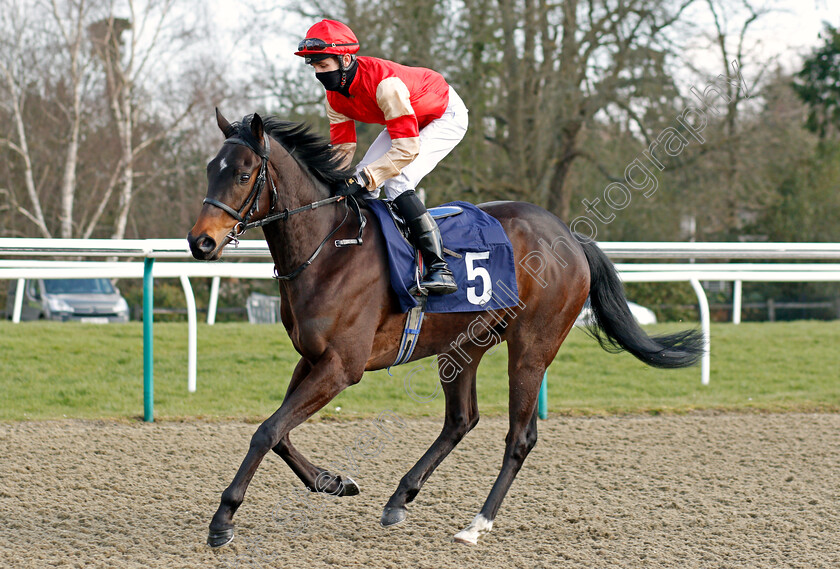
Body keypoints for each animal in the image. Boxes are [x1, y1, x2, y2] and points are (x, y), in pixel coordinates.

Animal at [189, 110, 704, 544]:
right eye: (210, 169)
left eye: (242, 174)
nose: (200, 242)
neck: (328, 249)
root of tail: (571, 237)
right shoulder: (312, 358)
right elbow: (279, 433)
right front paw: (332, 480)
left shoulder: (341, 366)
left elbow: (266, 431)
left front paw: (223, 519)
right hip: (463, 345)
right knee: (461, 419)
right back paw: (401, 497)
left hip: (532, 346)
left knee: (520, 437)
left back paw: (477, 524)